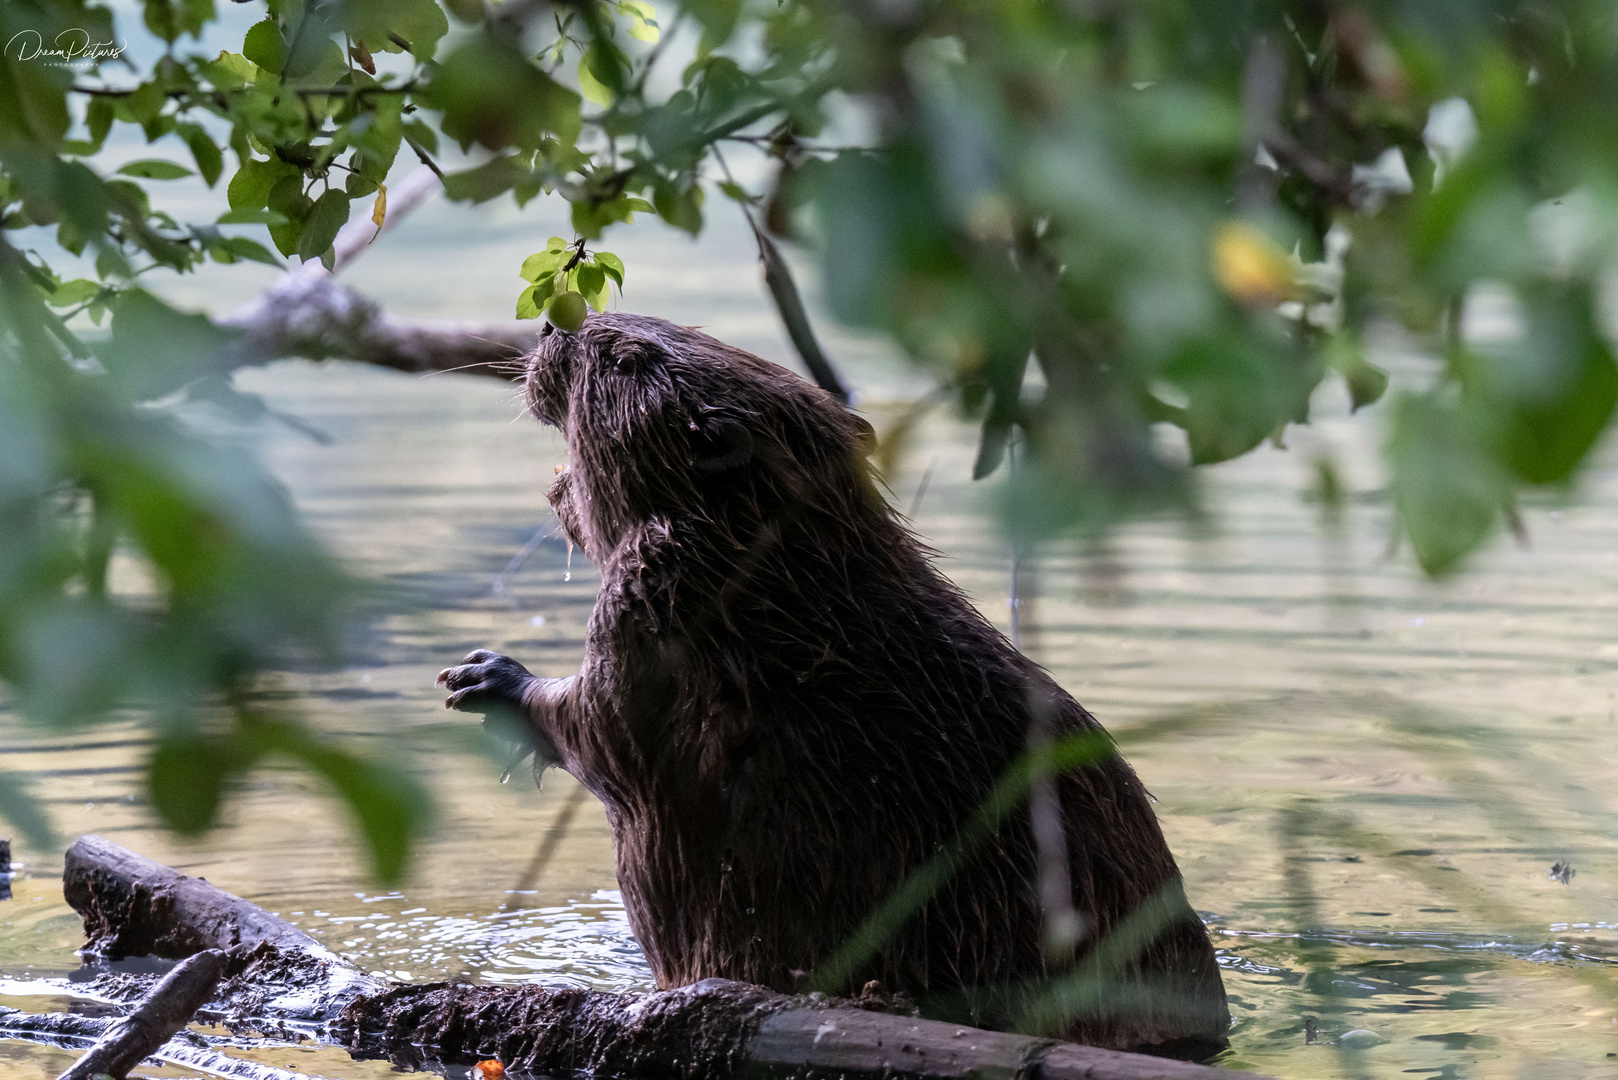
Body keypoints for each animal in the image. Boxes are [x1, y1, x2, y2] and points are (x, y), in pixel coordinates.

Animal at [433, 310, 1223, 1055]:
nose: (549, 325)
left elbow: (607, 731)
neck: (778, 570)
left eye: (627, 359)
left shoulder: (655, 603)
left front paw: (487, 677)